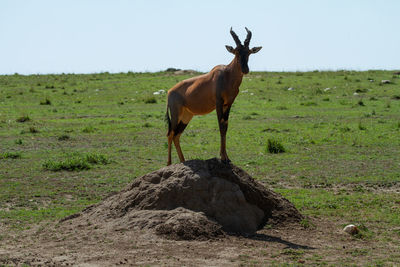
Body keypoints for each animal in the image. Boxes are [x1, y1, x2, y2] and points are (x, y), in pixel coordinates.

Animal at [166, 27, 262, 165]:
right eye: (236, 52)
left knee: (177, 135)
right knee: (170, 134)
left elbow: (225, 126)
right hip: (175, 114)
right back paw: (169, 163)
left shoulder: (228, 104)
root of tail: (170, 91)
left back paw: (183, 161)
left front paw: (227, 157)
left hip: (186, 116)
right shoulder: (218, 103)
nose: (245, 69)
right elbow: (220, 126)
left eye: (249, 52)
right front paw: (223, 157)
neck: (226, 75)